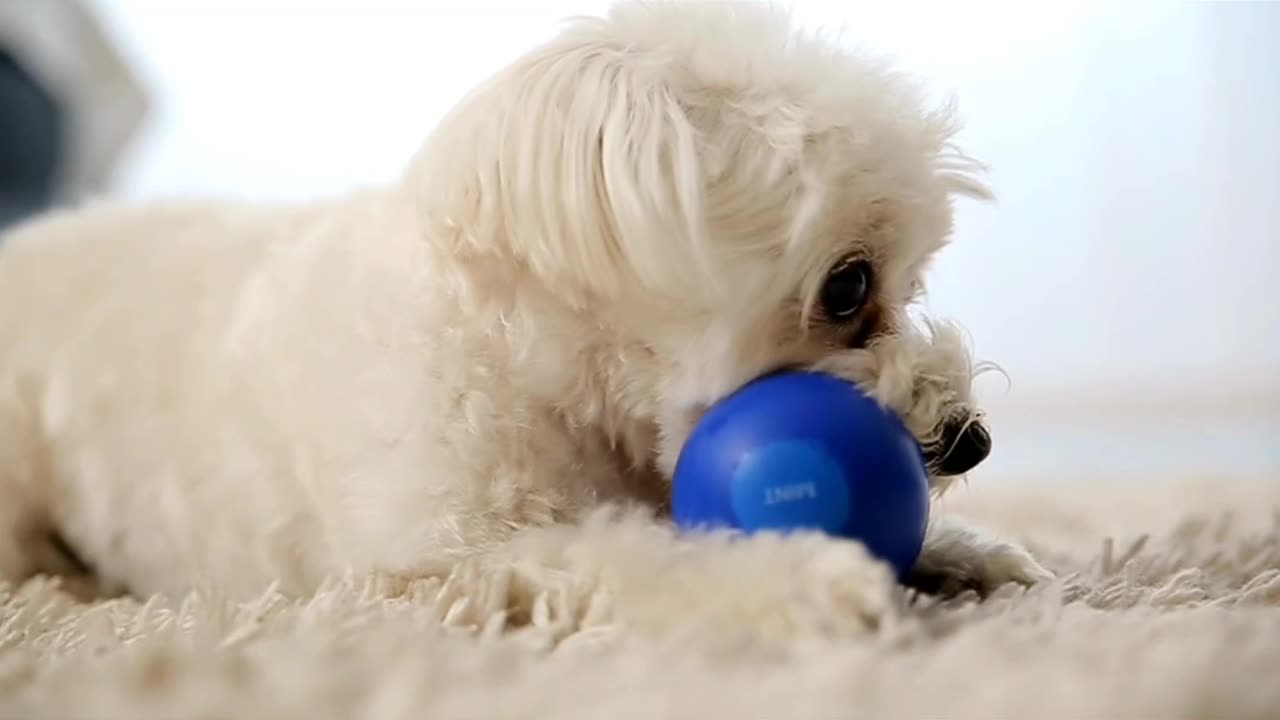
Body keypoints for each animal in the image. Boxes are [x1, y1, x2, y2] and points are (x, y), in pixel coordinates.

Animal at [0, 1, 1049, 599]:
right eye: (848, 285)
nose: (970, 439)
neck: (541, 371)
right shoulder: (449, 549)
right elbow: (643, 555)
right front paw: (811, 575)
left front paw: (973, 551)